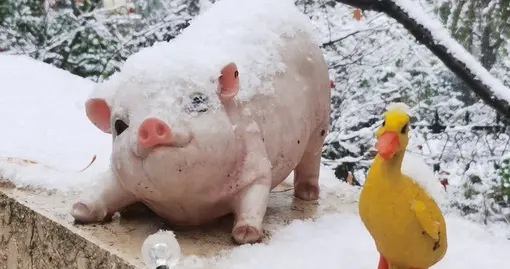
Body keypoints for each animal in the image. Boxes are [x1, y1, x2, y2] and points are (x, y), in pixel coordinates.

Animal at [71, 0, 332, 244]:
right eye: (119, 125)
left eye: (197, 101)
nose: (150, 124)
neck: (188, 207)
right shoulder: (120, 173)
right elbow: (106, 187)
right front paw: (79, 210)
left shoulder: (256, 160)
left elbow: (255, 195)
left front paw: (246, 235)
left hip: (321, 117)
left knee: (312, 156)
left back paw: (307, 194)